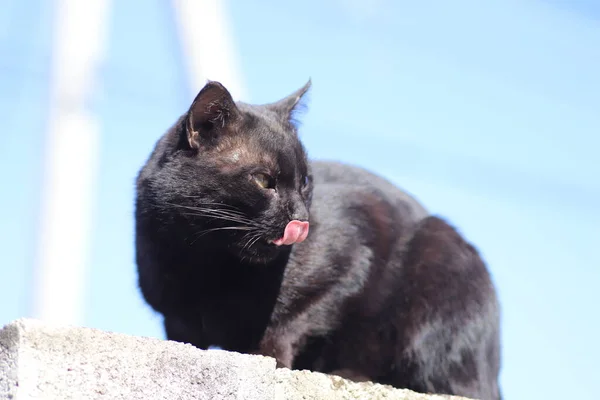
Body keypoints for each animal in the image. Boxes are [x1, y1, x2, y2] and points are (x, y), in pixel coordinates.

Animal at [135, 79, 502, 398]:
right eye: (264, 181)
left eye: (305, 181)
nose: (303, 219)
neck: (204, 261)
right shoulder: (175, 318)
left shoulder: (352, 256)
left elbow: (289, 323)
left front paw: (268, 358)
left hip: (441, 263)